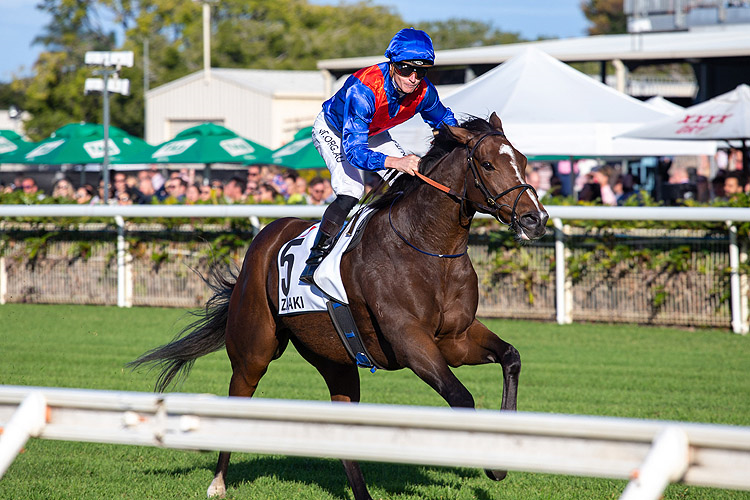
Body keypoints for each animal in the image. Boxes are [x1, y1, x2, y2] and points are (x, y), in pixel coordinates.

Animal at [129, 111, 548, 498]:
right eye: (488, 164)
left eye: (524, 160)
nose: (536, 218)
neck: (428, 247)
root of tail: (266, 234)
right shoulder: (410, 340)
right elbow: (461, 396)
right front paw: (491, 463)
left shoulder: (456, 338)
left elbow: (511, 357)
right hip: (254, 349)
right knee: (239, 393)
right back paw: (217, 483)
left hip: (335, 358)